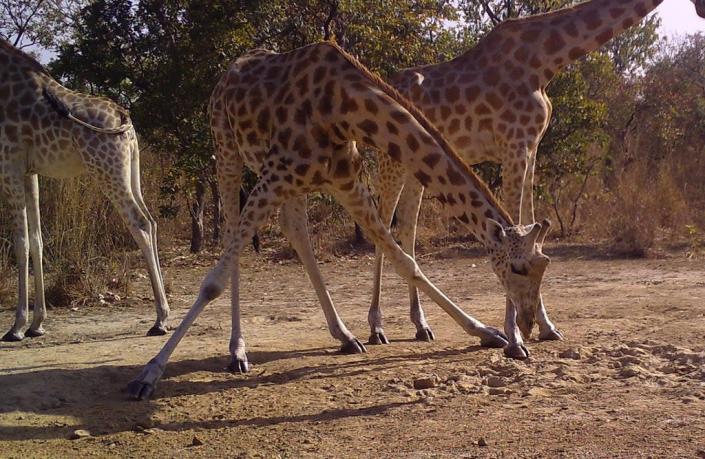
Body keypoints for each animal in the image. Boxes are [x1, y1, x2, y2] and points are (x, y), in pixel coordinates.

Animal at [0, 38, 169, 342]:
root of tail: (125, 119)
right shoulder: (30, 172)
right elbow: (37, 240)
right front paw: (37, 324)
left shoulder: (9, 165)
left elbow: (20, 243)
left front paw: (17, 327)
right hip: (130, 172)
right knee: (151, 221)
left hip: (107, 170)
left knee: (140, 224)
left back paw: (160, 320)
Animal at [129, 43, 552, 400]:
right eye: (517, 268)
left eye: (542, 269)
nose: (528, 323)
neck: (343, 110)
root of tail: (229, 72)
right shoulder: (274, 176)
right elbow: (212, 283)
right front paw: (150, 372)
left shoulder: (346, 182)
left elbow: (406, 262)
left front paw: (485, 332)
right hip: (228, 150)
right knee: (233, 232)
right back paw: (237, 352)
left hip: (288, 182)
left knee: (296, 231)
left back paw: (345, 336)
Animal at [364, 0, 704, 346]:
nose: (701, 11)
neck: (546, 60)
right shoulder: (513, 145)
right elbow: (512, 226)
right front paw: (514, 334)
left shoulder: (531, 147)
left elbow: (529, 223)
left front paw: (545, 325)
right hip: (388, 158)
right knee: (382, 225)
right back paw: (376, 328)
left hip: (413, 163)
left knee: (407, 228)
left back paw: (421, 324)